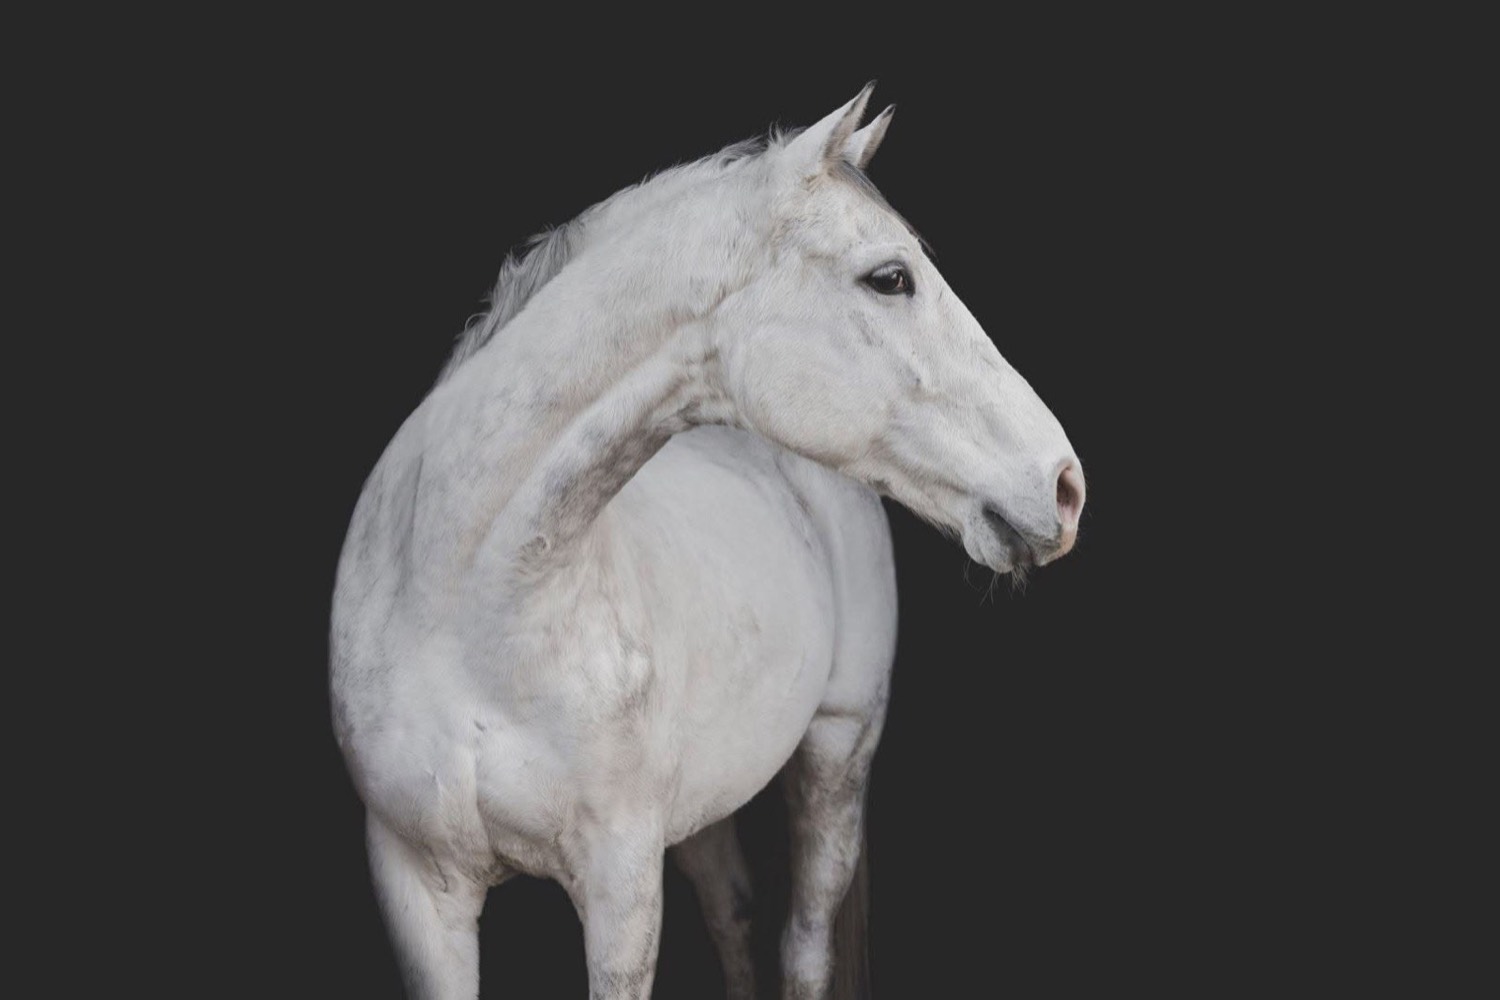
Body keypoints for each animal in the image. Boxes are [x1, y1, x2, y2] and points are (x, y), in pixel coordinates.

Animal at [331, 83, 1085, 999]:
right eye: (890, 278)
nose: (1063, 484)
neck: (465, 609)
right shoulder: (416, 887)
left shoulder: (621, 888)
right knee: (733, 912)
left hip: (838, 752)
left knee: (804, 944)